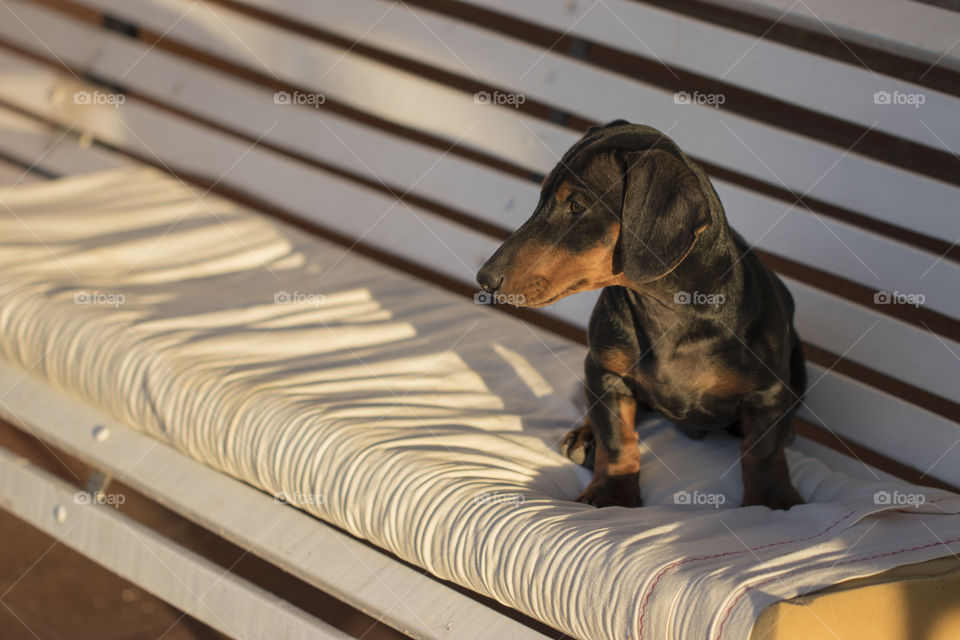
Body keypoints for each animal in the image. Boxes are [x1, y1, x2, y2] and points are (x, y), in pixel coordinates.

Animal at [478, 120, 804, 510]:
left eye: (576, 205)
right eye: (541, 198)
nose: (484, 279)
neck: (666, 311)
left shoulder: (767, 393)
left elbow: (763, 452)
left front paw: (772, 501)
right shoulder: (604, 372)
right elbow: (617, 439)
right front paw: (611, 492)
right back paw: (585, 437)